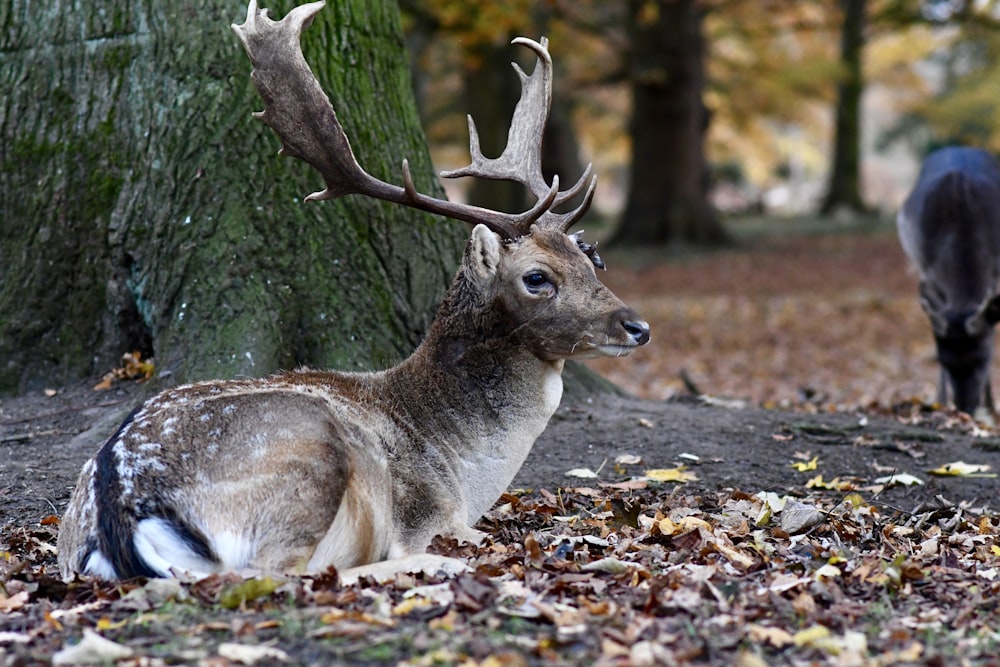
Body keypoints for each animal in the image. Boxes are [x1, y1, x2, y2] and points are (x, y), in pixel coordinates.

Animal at [56, 1, 648, 584]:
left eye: (590, 260)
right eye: (537, 277)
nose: (637, 326)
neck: (462, 468)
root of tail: (120, 502)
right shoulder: (428, 513)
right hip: (310, 452)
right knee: (281, 574)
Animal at [896, 146, 1000, 414]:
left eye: (983, 358)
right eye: (941, 359)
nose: (965, 409)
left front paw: (991, 408)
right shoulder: (930, 276)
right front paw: (939, 401)